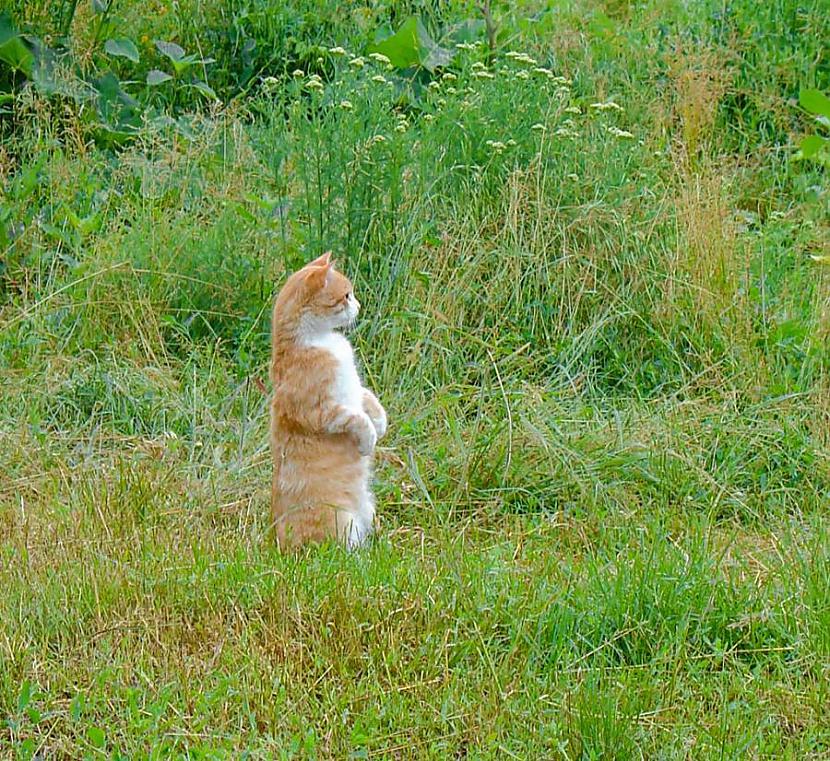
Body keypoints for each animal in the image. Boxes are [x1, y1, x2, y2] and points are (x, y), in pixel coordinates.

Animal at [272, 252, 392, 548]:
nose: (359, 306)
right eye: (346, 296)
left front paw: (381, 422)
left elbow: (367, 398)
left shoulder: (355, 388)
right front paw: (369, 438)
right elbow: (356, 418)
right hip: (341, 522)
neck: (323, 341)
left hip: (368, 510)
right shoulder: (321, 411)